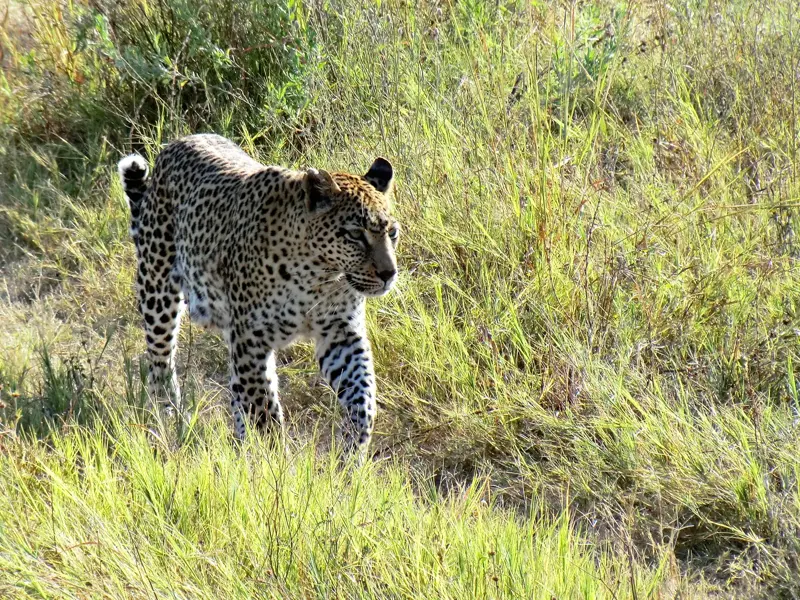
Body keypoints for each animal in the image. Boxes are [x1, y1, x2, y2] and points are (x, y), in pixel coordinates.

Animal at [118, 133, 400, 459]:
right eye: (355, 235)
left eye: (392, 233)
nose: (389, 273)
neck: (320, 277)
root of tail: (178, 142)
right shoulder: (252, 340)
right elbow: (263, 412)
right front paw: (275, 464)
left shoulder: (340, 333)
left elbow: (362, 396)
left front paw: (352, 453)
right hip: (157, 289)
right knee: (160, 360)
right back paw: (167, 413)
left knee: (234, 390)